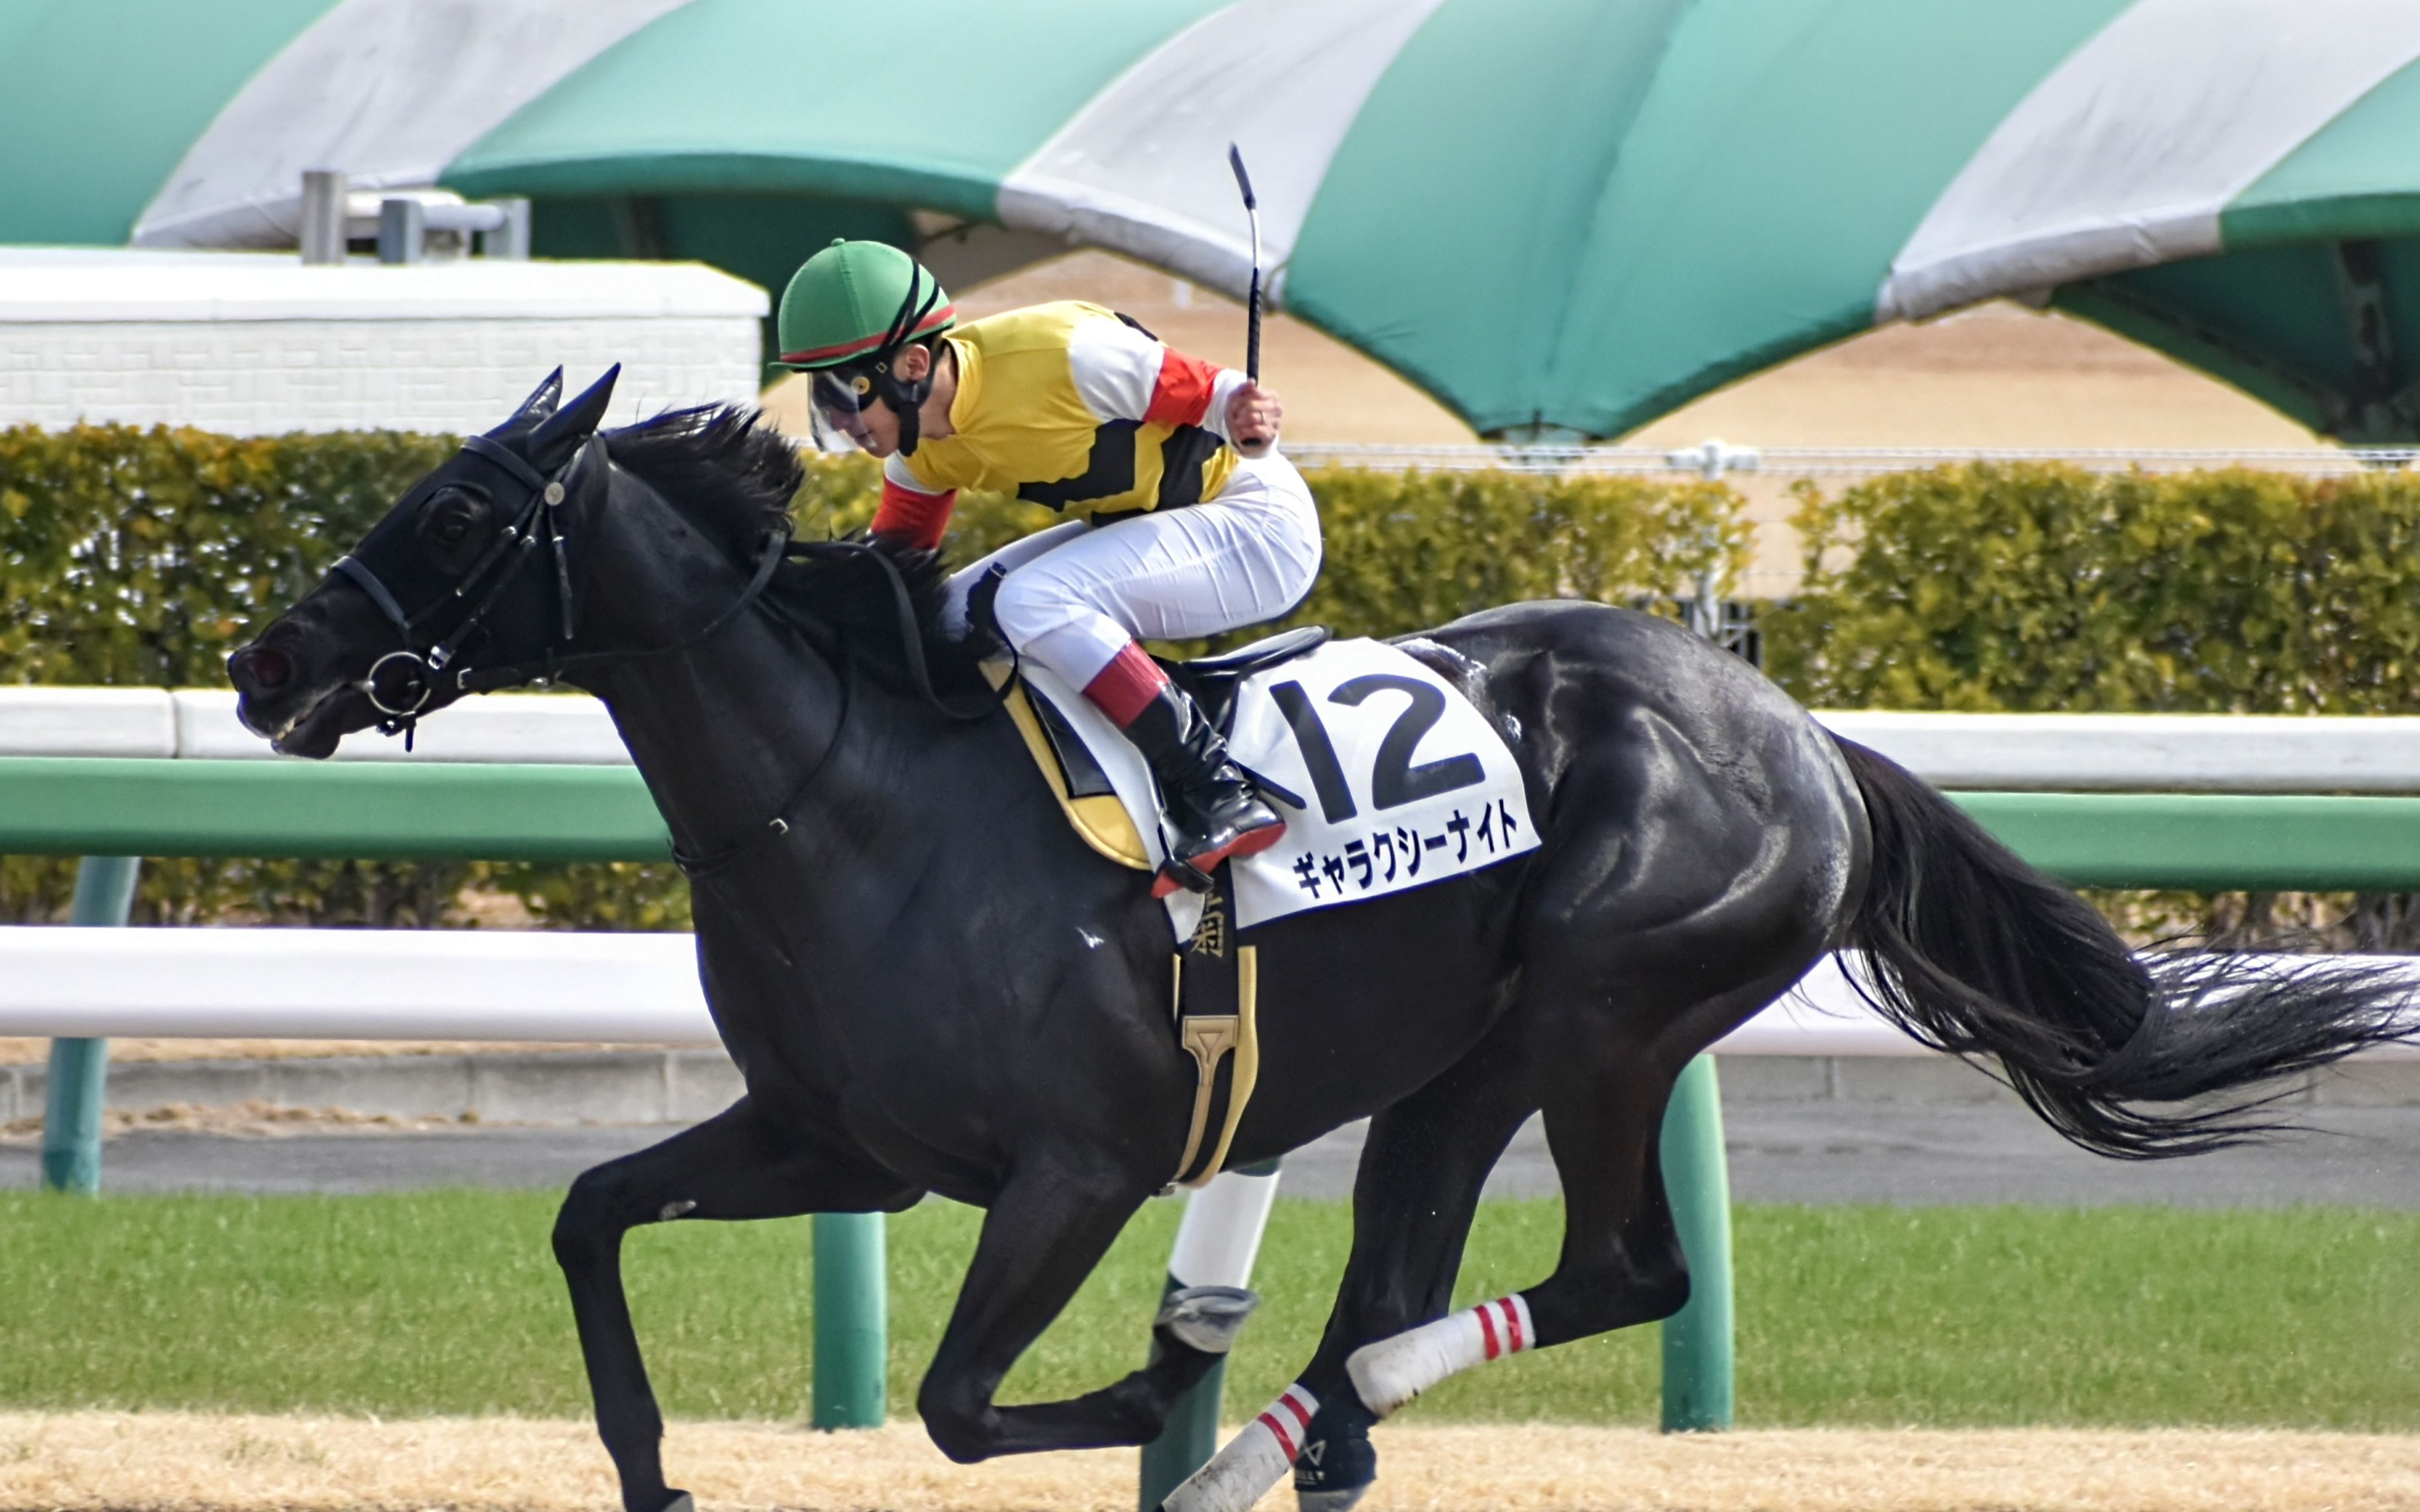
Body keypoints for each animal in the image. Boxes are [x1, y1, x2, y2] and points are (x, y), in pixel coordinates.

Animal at [227, 368, 2413, 1512]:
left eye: (458, 515)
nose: (266, 664)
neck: (849, 797)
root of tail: (1797, 732)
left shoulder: (1078, 1165)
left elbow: (958, 1398)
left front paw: (1146, 1398)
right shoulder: (837, 1140)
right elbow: (590, 1212)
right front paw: (653, 1468)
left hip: (1607, 1012)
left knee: (1613, 1271)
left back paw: (1259, 1419)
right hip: (1463, 1066)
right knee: (1407, 1292)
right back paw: (1293, 1420)